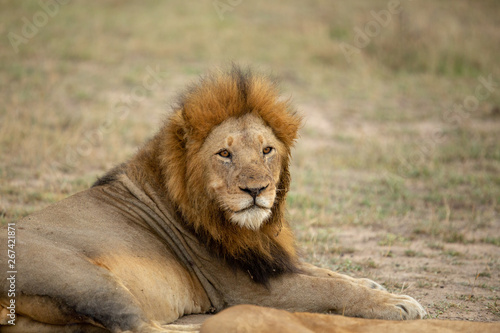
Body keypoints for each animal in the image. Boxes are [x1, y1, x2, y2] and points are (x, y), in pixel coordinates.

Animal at [0, 66, 426, 330]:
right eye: (224, 153)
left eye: (267, 150)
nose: (256, 190)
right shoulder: (245, 289)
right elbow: (327, 288)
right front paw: (396, 304)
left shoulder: (266, 258)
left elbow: (326, 272)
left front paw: (375, 285)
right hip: (88, 280)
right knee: (136, 326)